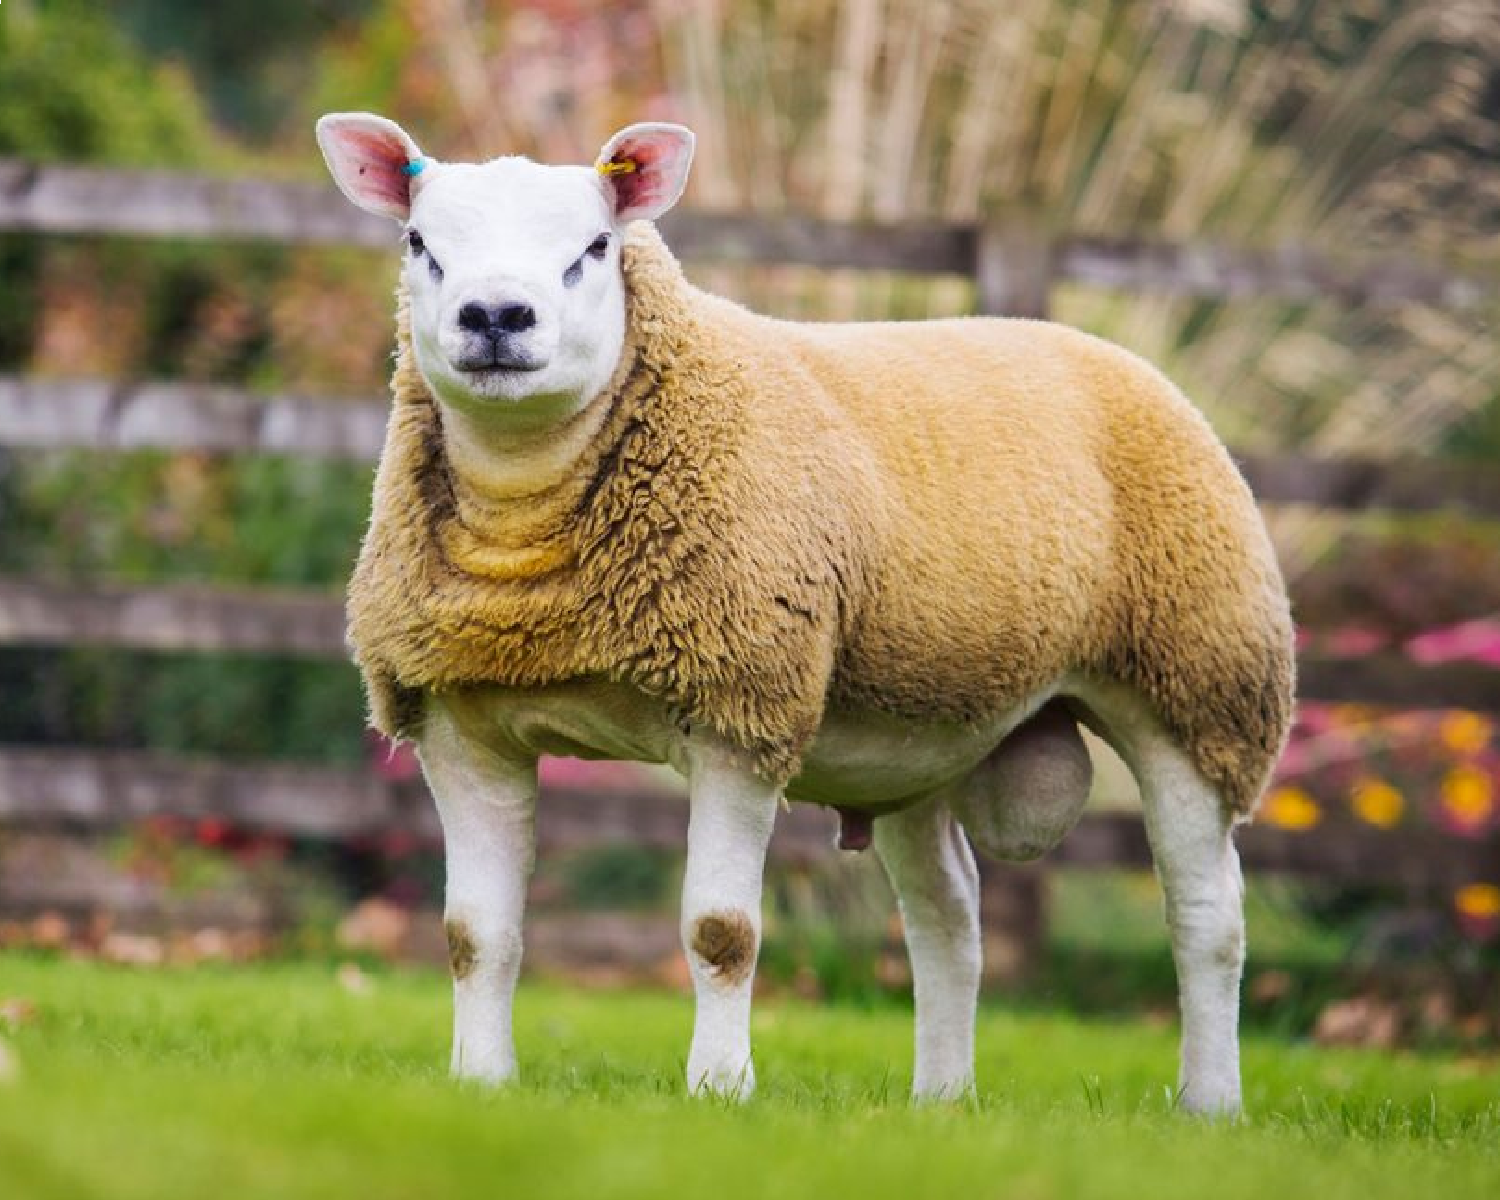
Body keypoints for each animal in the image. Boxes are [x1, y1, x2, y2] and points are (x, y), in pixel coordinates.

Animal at [313, 114, 1290, 1116]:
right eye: (419, 244)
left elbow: (721, 932)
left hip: (1201, 684)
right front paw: (481, 1084)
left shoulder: (741, 704)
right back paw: (942, 1102)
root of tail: (1104, 350)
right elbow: (475, 935)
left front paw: (719, 1088)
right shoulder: (460, 723)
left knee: (1207, 919)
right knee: (950, 916)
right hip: (925, 724)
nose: (496, 318)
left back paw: (1209, 1104)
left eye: (596, 247)